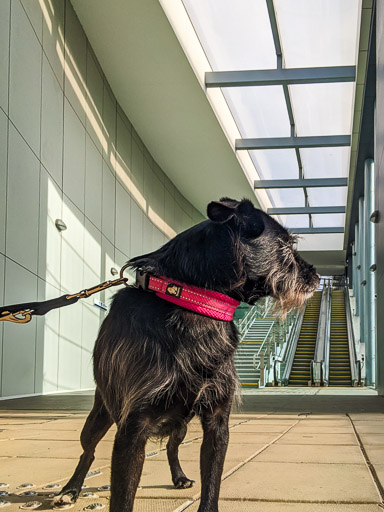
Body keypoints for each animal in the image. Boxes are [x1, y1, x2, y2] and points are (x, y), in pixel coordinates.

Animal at [55, 198, 320, 510]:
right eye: (286, 244)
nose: (316, 276)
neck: (191, 300)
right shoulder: (132, 429)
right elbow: (122, 498)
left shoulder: (217, 422)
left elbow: (211, 486)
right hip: (99, 415)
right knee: (89, 451)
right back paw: (70, 490)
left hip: (179, 423)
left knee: (172, 447)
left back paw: (179, 477)